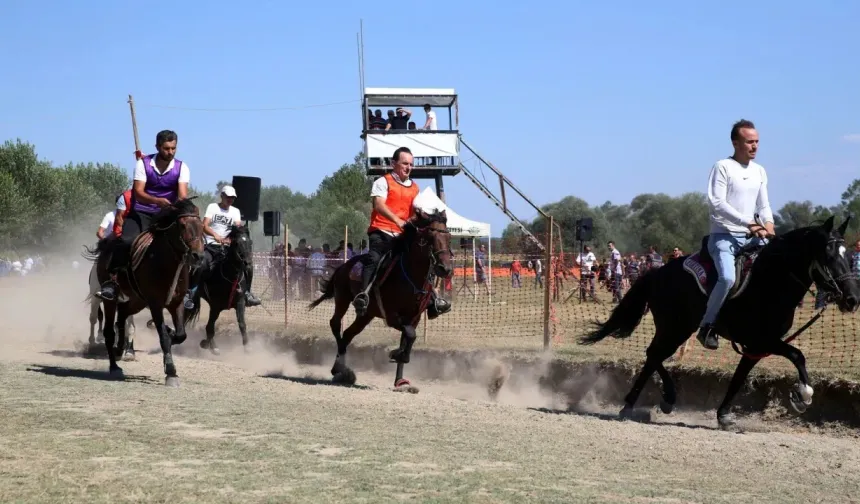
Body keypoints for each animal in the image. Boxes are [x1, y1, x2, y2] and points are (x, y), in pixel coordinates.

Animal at [86, 199, 205, 388]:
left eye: (201, 226)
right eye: (182, 225)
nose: (198, 256)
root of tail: (106, 247)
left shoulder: (177, 303)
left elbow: (180, 335)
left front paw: (171, 334)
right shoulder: (156, 304)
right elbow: (163, 337)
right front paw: (171, 372)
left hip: (137, 301)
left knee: (122, 317)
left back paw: (120, 349)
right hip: (109, 300)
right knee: (108, 331)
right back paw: (114, 366)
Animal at [186, 224, 255, 354]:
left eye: (250, 242)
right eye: (237, 243)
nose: (247, 263)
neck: (231, 277)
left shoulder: (240, 302)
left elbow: (242, 324)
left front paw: (247, 346)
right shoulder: (215, 306)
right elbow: (210, 327)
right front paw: (206, 344)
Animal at [310, 209, 456, 390]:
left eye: (448, 237)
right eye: (429, 237)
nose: (445, 269)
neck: (410, 276)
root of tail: (343, 266)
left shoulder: (414, 318)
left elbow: (408, 338)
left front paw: (400, 379)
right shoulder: (392, 316)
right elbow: (410, 334)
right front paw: (396, 354)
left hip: (366, 314)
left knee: (348, 333)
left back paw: (343, 371)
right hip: (342, 299)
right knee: (335, 324)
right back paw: (339, 369)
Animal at [576, 217, 860, 430]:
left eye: (847, 255)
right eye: (828, 255)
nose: (852, 299)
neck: (770, 281)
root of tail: (657, 272)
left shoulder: (755, 347)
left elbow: (739, 378)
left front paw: (724, 416)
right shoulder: (762, 340)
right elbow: (797, 355)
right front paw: (802, 396)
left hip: (678, 328)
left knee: (652, 357)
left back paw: (644, 402)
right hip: (674, 328)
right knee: (654, 354)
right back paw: (656, 400)